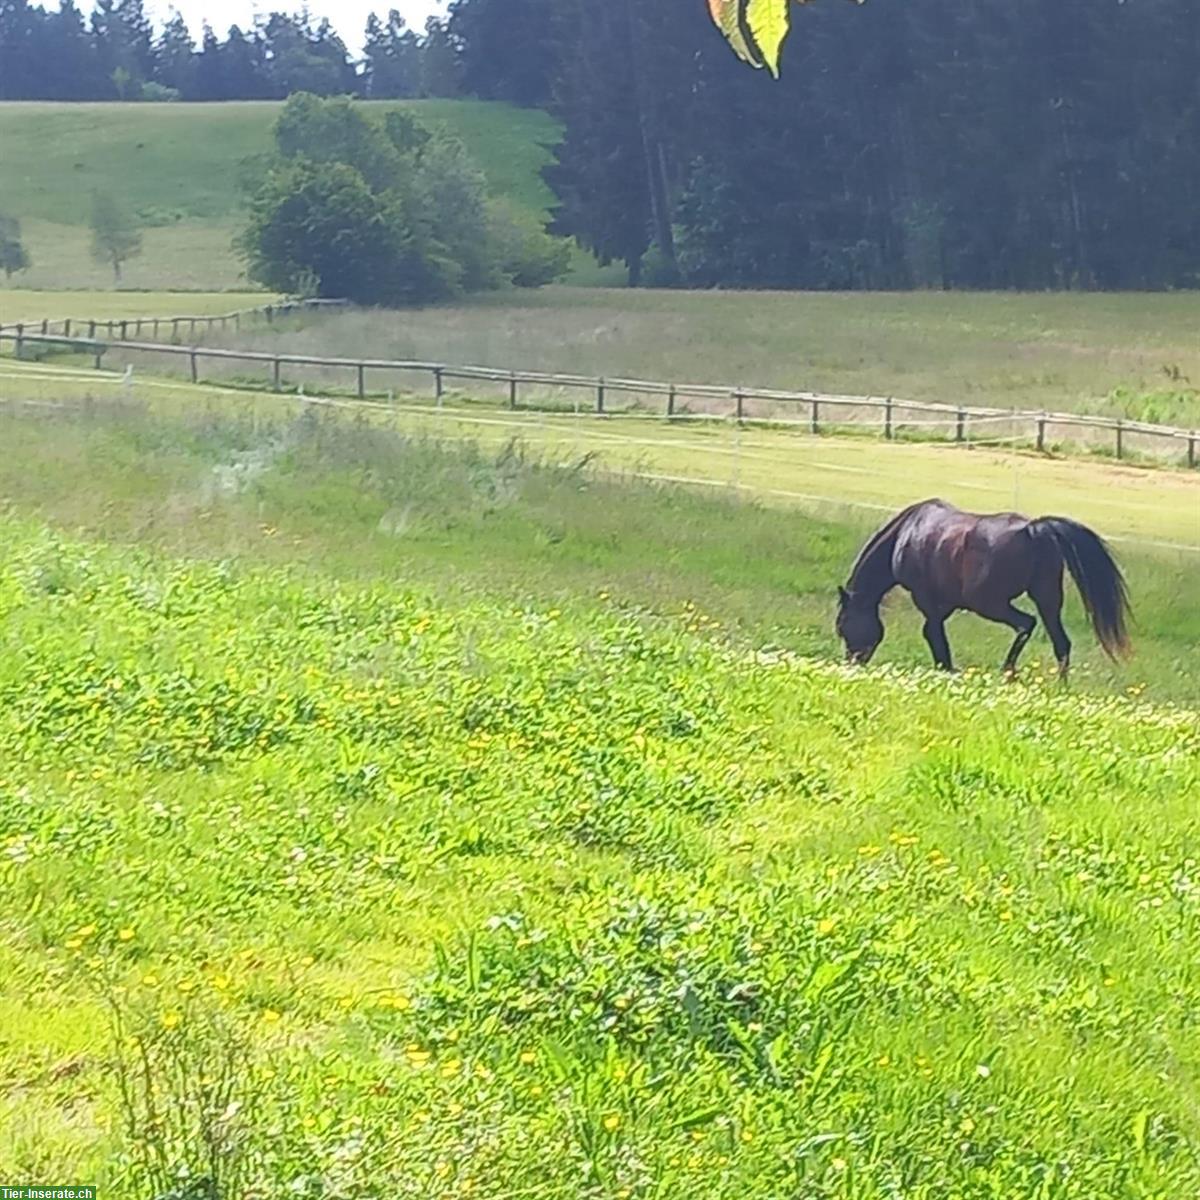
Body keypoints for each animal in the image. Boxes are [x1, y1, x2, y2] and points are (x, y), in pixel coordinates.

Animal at [840, 499, 1128, 686]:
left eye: (842, 626)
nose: (853, 662)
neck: (905, 535)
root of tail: (1032, 529)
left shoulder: (926, 600)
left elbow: (933, 634)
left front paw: (947, 669)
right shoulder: (945, 604)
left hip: (991, 604)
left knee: (1026, 624)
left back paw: (1008, 673)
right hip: (1047, 600)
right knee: (1061, 643)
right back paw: (1059, 687)